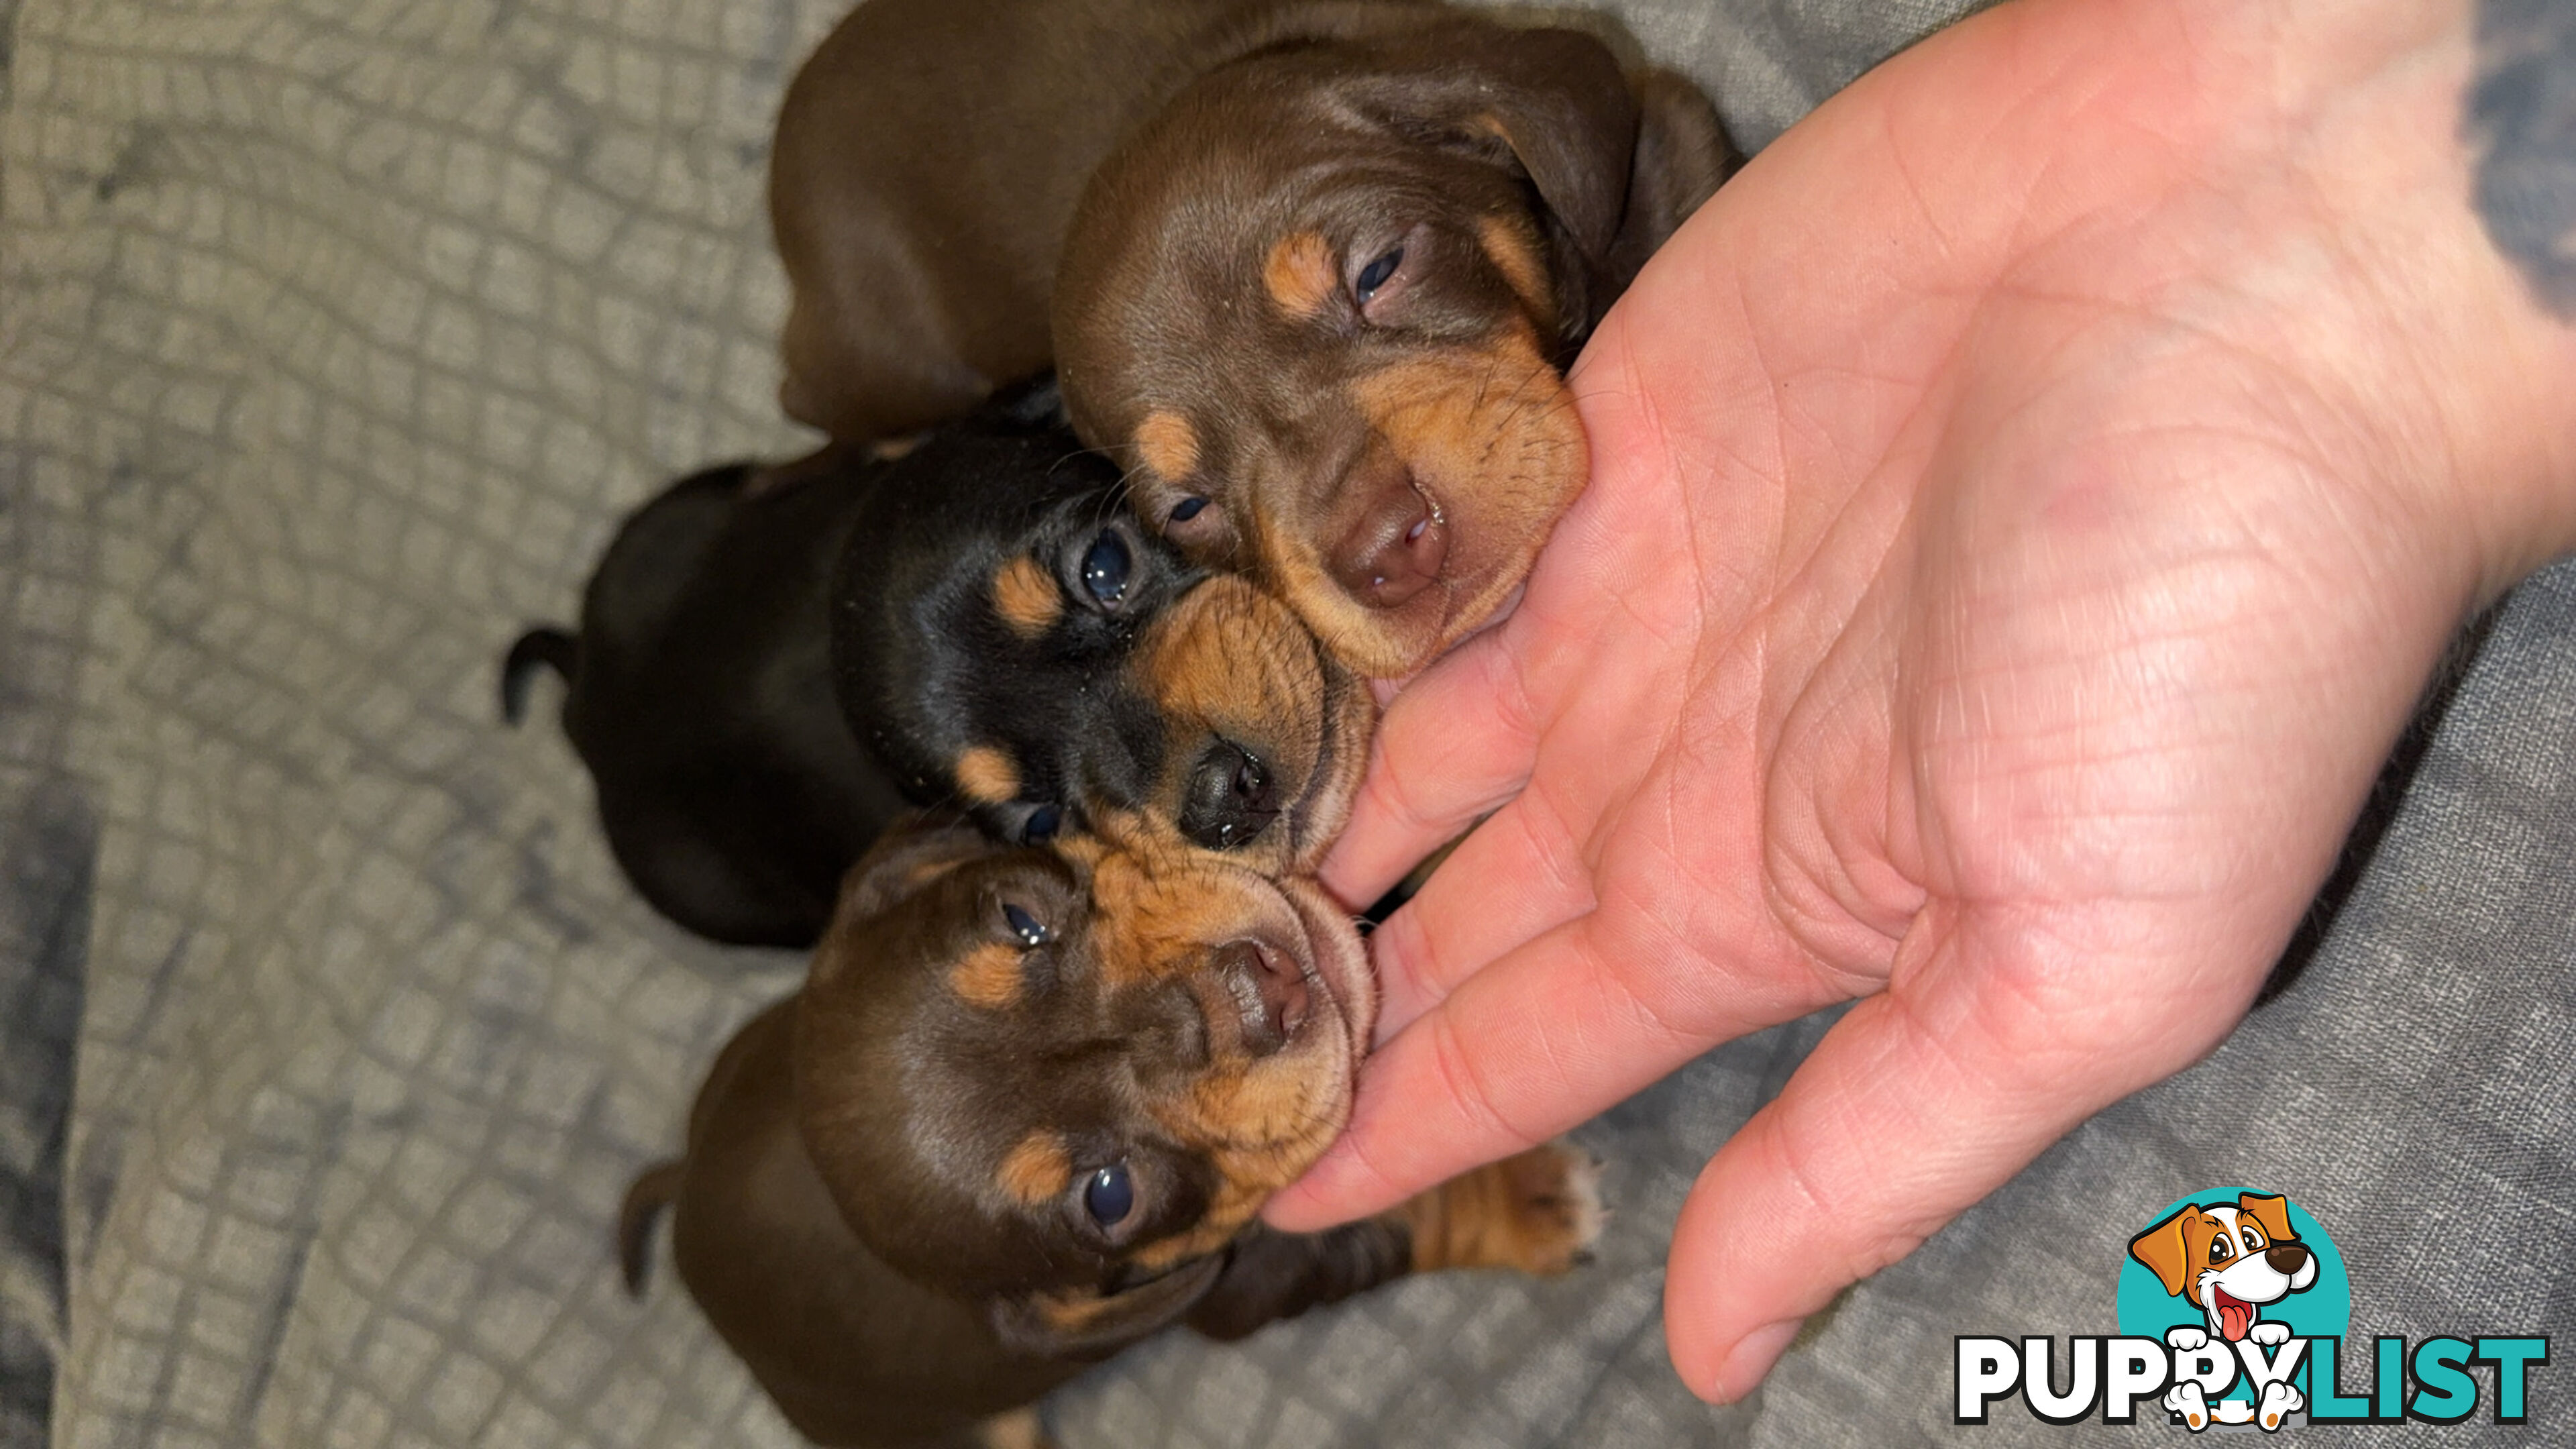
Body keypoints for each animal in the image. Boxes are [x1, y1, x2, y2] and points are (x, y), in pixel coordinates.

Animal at [623, 814, 1597, 1444]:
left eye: (1021, 922)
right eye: (1109, 1196)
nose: (1259, 992)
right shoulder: (1247, 1280)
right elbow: (1398, 1227)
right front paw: (1531, 1205)